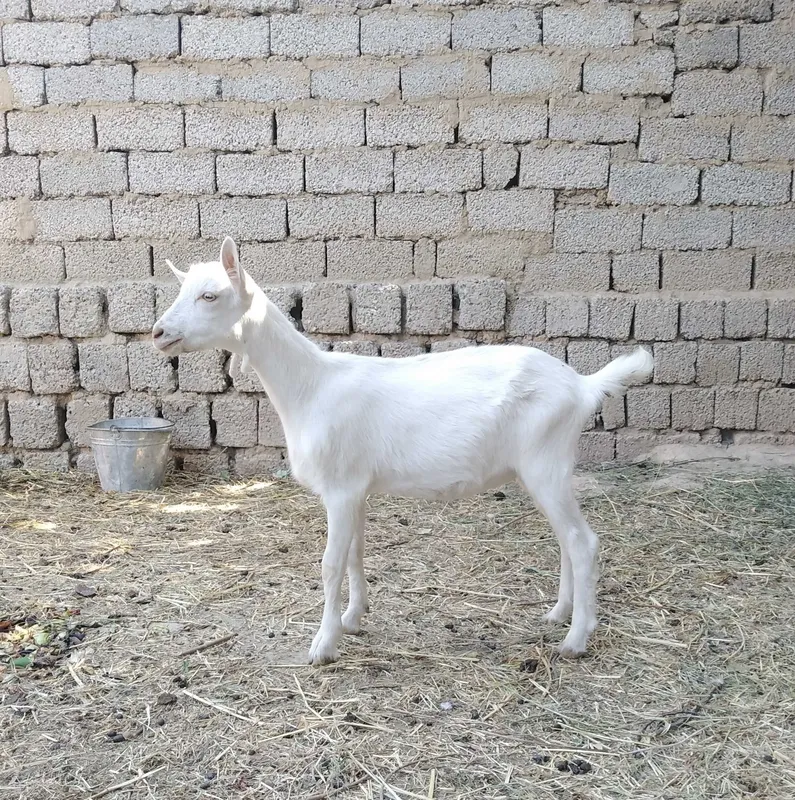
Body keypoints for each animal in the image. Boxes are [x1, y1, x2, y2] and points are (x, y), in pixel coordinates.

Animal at [152, 237, 654, 666]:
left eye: (211, 296)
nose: (158, 332)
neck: (310, 387)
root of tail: (582, 385)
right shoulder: (356, 487)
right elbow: (355, 553)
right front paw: (352, 619)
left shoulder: (339, 489)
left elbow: (330, 563)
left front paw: (323, 645)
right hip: (545, 468)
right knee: (566, 539)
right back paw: (558, 613)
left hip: (546, 462)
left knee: (583, 542)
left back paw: (576, 638)